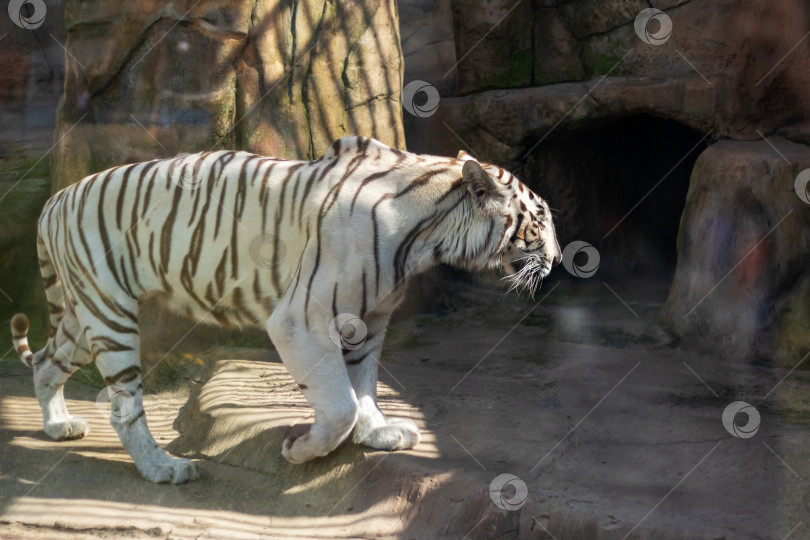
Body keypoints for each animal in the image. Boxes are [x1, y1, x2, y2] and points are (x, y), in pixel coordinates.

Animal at [9, 137, 560, 484]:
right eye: (541, 220)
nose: (557, 259)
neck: (429, 233)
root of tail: (55, 199)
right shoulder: (304, 318)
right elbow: (339, 404)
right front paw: (302, 451)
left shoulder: (367, 321)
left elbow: (364, 386)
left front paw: (378, 432)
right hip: (109, 314)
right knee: (123, 407)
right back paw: (163, 468)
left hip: (82, 315)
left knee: (46, 363)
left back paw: (58, 425)